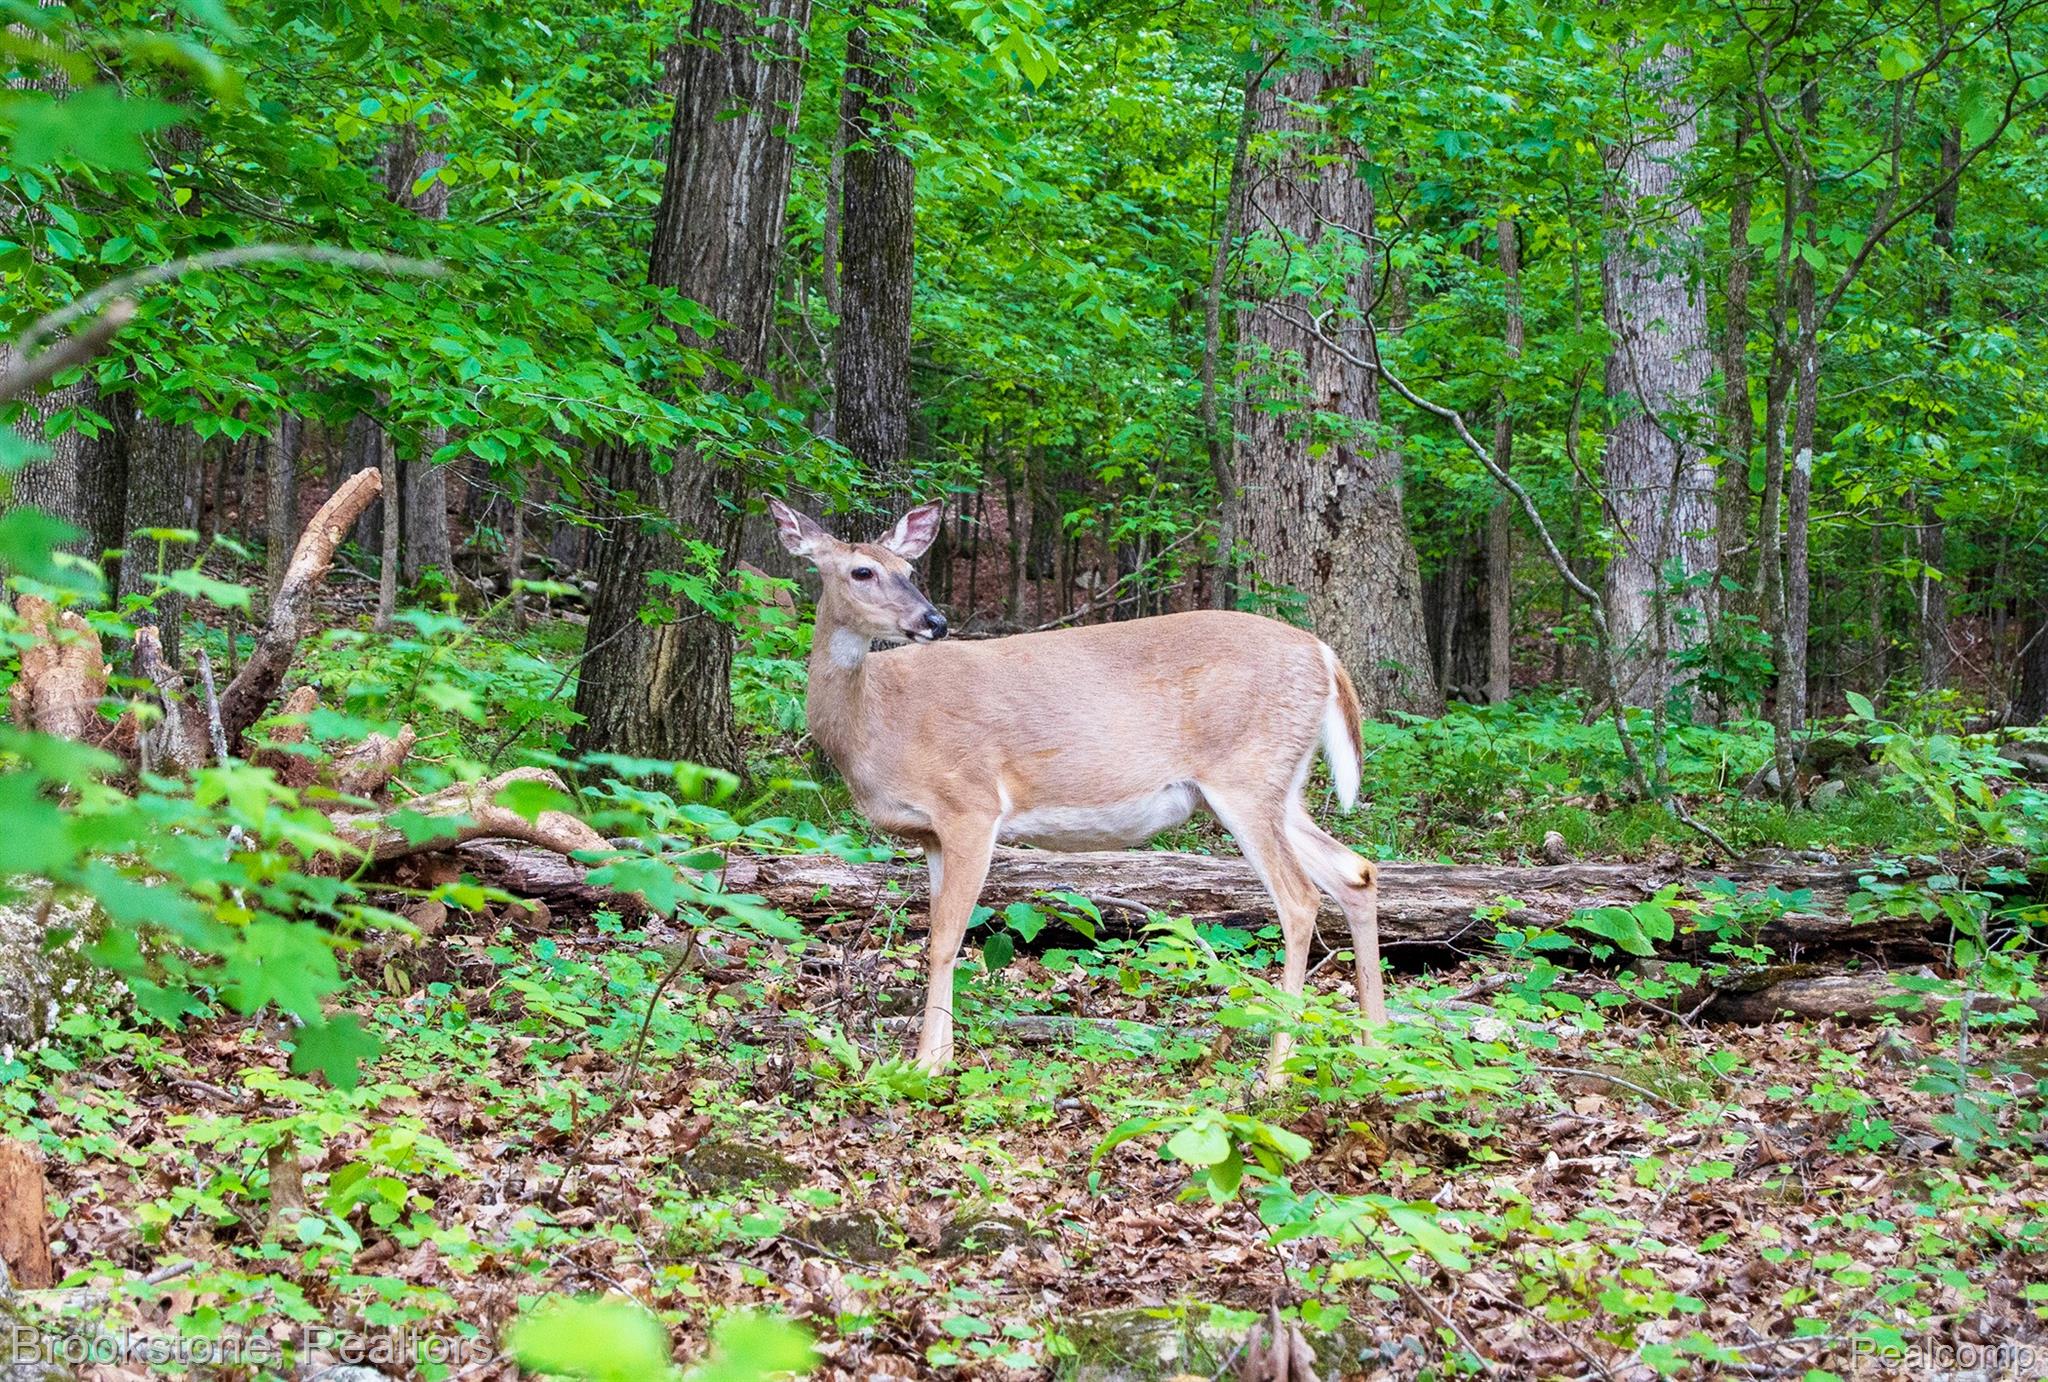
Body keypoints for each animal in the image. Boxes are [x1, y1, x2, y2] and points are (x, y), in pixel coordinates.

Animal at [767, 497, 1386, 1082]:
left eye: (908, 567)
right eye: (863, 571)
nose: (934, 620)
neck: (876, 722)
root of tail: (1325, 656)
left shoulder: (971, 804)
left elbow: (945, 939)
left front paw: (924, 1065)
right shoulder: (931, 834)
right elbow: (943, 937)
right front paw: (938, 1057)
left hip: (1248, 776)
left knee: (1300, 900)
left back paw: (1278, 1071)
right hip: (1278, 786)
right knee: (1355, 871)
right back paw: (1377, 1046)